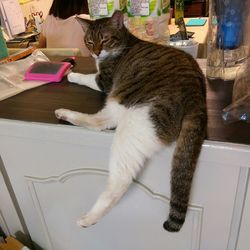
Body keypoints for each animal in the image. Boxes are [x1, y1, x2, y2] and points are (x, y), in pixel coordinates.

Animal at [54, 9, 207, 232]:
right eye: (90, 42)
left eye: (105, 39)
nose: (96, 53)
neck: (124, 44)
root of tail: (197, 98)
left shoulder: (104, 80)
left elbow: (88, 77)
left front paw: (72, 74)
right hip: (124, 107)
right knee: (100, 122)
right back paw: (63, 113)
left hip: (135, 123)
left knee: (120, 180)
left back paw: (88, 218)